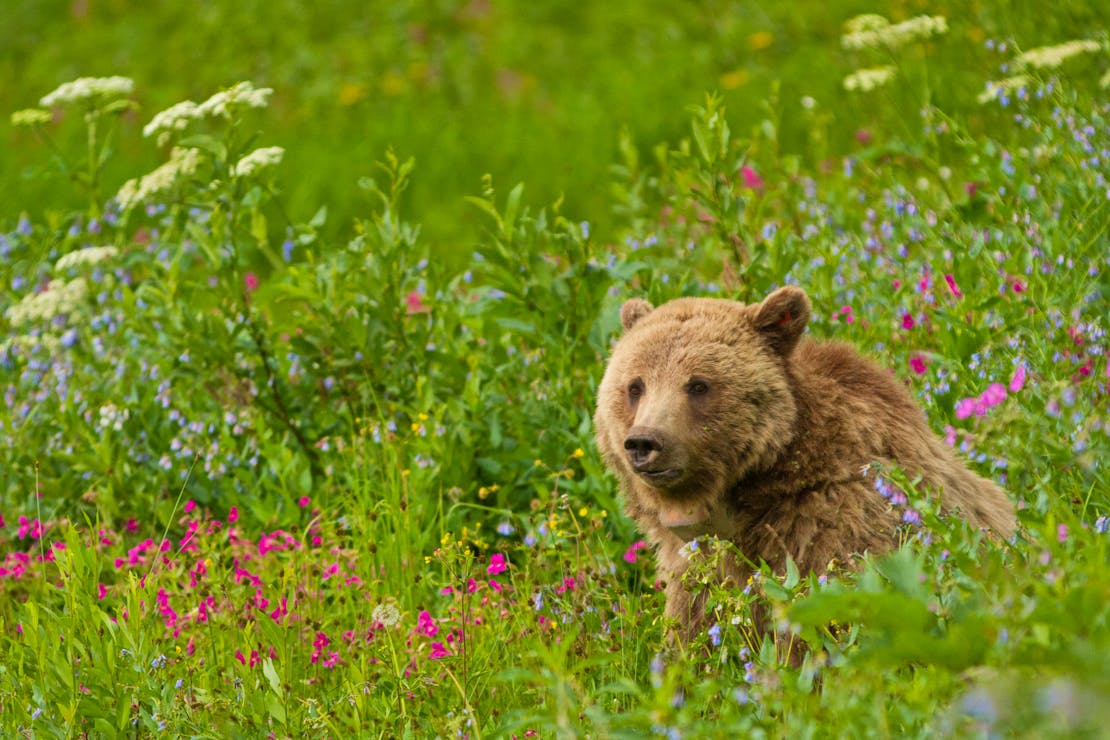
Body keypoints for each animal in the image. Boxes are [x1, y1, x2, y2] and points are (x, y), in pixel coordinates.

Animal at [594, 286, 1016, 643]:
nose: (645, 442)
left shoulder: (832, 527)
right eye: (635, 386)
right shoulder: (694, 566)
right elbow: (693, 634)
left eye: (698, 384)